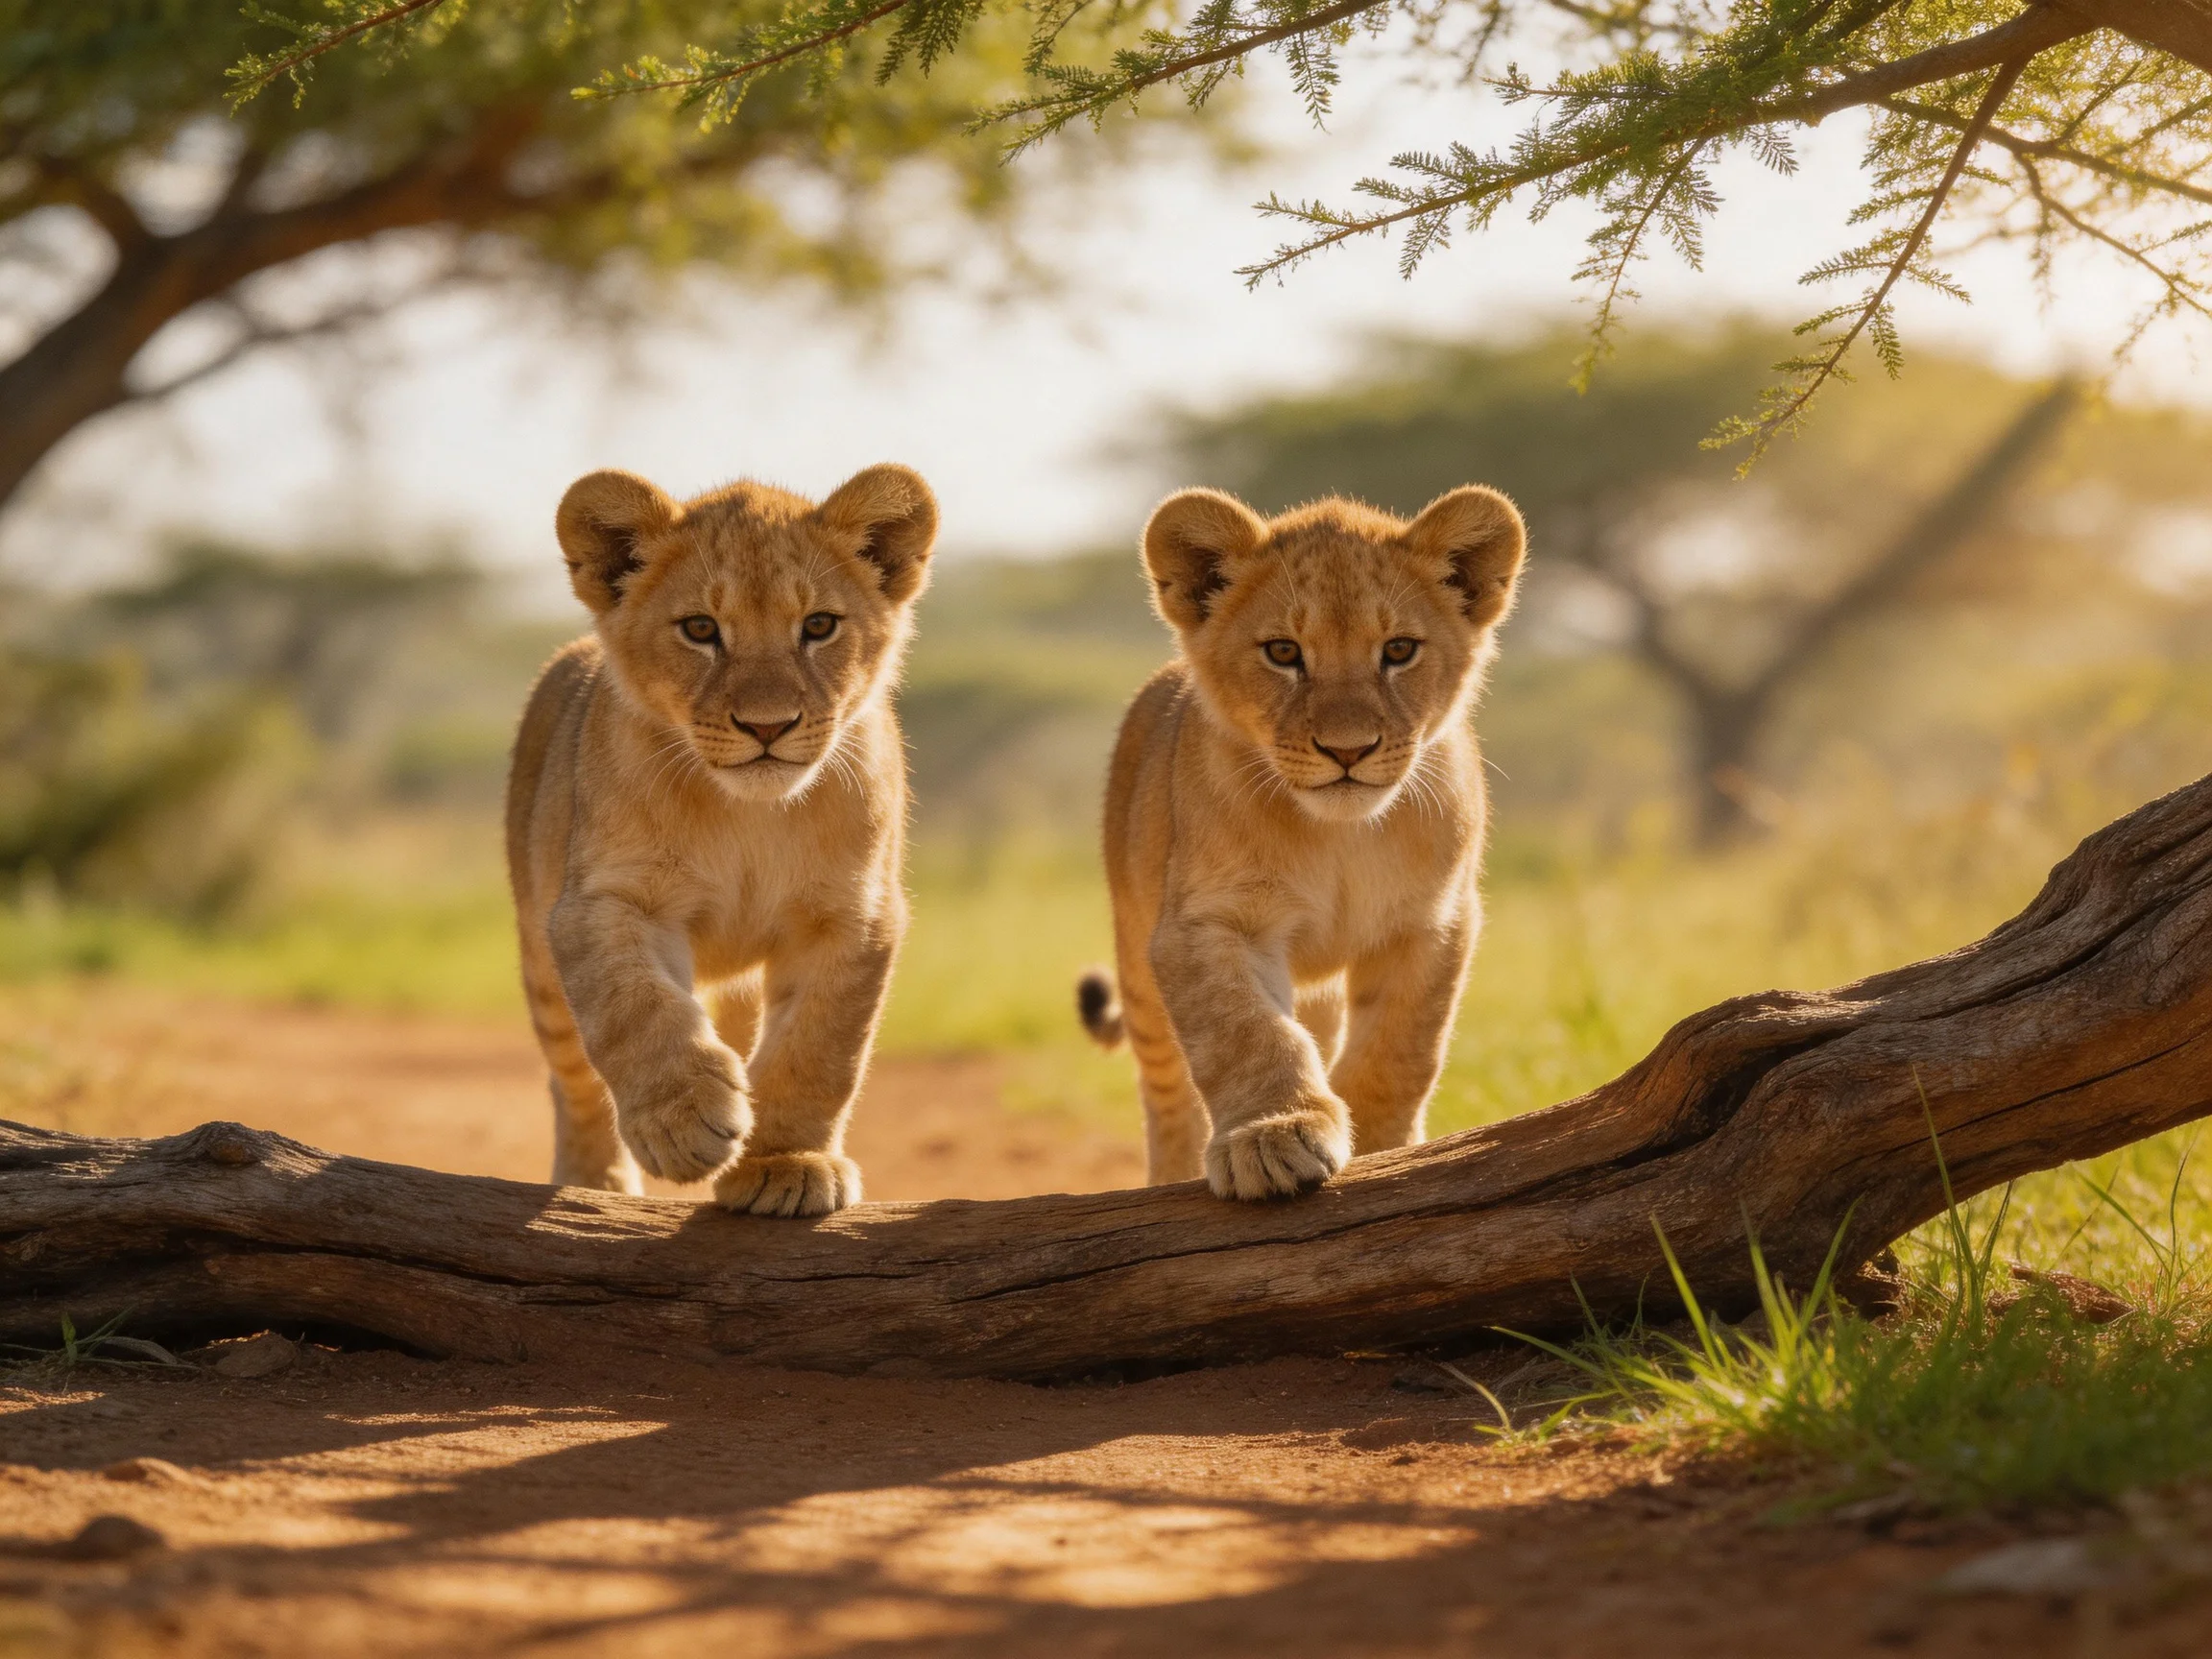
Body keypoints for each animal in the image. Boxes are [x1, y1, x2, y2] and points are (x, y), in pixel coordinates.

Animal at [505, 463, 938, 1216]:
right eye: (701, 628)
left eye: (818, 625)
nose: (767, 725)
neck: (747, 817)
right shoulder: (603, 902)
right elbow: (635, 1007)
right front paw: (683, 1123)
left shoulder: (852, 915)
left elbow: (818, 1049)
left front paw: (786, 1164)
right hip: (539, 951)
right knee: (572, 1077)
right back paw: (592, 1181)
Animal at [1077, 485, 1526, 1200]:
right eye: (1284, 653)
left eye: (1400, 649)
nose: (1348, 750)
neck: (1338, 835)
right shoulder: (1205, 924)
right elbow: (1248, 1035)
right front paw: (1272, 1137)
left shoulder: (1432, 923)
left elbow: (1399, 1052)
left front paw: (1384, 1152)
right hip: (1137, 955)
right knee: (1166, 1095)